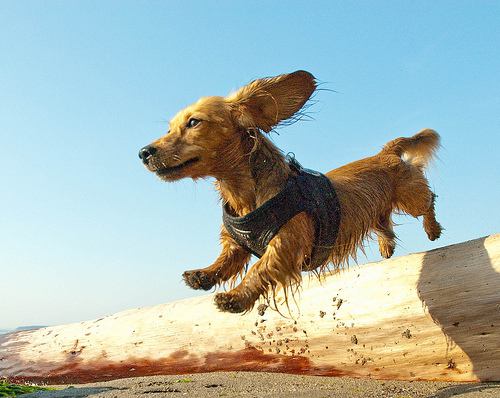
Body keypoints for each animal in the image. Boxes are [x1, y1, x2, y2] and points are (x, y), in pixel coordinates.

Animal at [138, 70, 442, 314]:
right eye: (169, 128)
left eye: (193, 122)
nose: (143, 152)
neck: (243, 197)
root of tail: (385, 151)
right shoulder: (236, 243)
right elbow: (226, 261)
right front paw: (203, 274)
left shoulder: (286, 244)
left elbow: (259, 269)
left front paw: (236, 297)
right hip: (374, 208)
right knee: (383, 222)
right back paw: (386, 245)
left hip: (412, 197)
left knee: (429, 201)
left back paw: (432, 229)